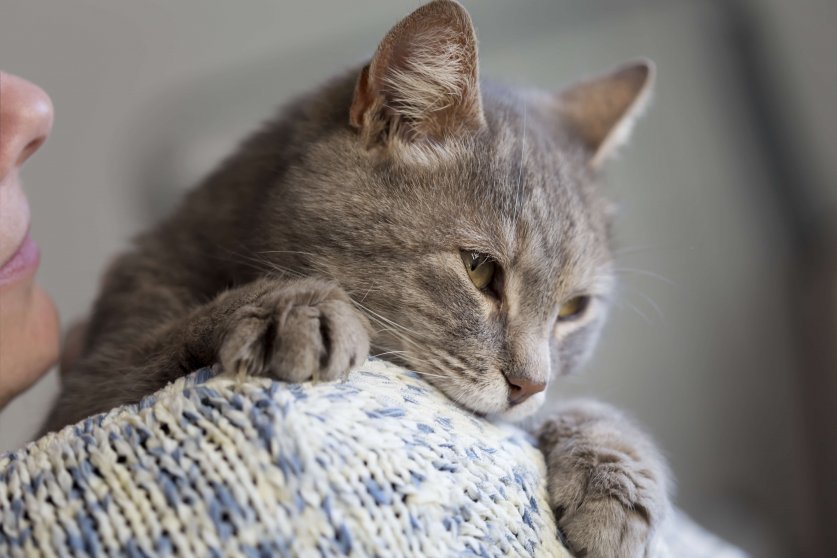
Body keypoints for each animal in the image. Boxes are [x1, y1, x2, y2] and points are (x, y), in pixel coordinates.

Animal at [47, 2, 672, 556]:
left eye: (573, 309)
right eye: (480, 269)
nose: (528, 386)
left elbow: (586, 410)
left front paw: (616, 474)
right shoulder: (90, 381)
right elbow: (165, 338)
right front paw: (288, 307)